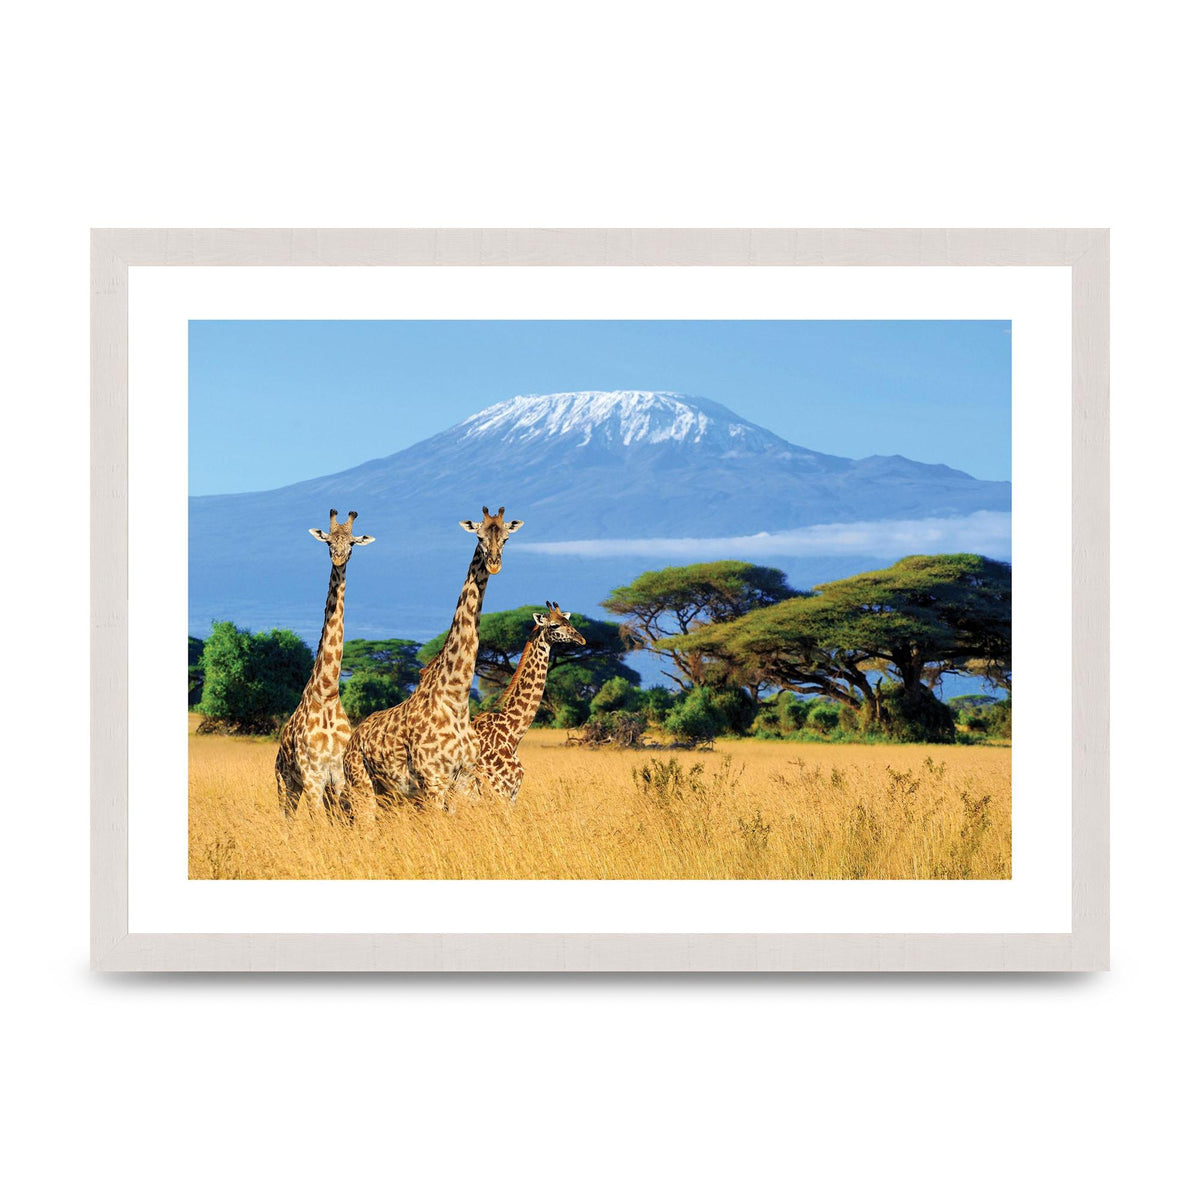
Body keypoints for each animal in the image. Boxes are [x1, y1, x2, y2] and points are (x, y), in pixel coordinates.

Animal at [274, 509, 375, 818]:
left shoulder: (338, 777)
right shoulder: (312, 777)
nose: (339, 558)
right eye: (328, 541)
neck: (327, 693)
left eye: (352, 543)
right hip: (285, 783)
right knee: (286, 819)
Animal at [342, 505, 523, 818]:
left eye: (506, 538)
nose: (494, 564)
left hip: (389, 794)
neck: (456, 698)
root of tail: (353, 739)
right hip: (361, 786)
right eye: (479, 536)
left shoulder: (464, 779)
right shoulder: (433, 780)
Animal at [472, 602, 586, 802]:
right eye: (554, 625)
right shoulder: (499, 792)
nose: (582, 640)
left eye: (568, 622)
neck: (512, 734)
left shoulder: (511, 794)